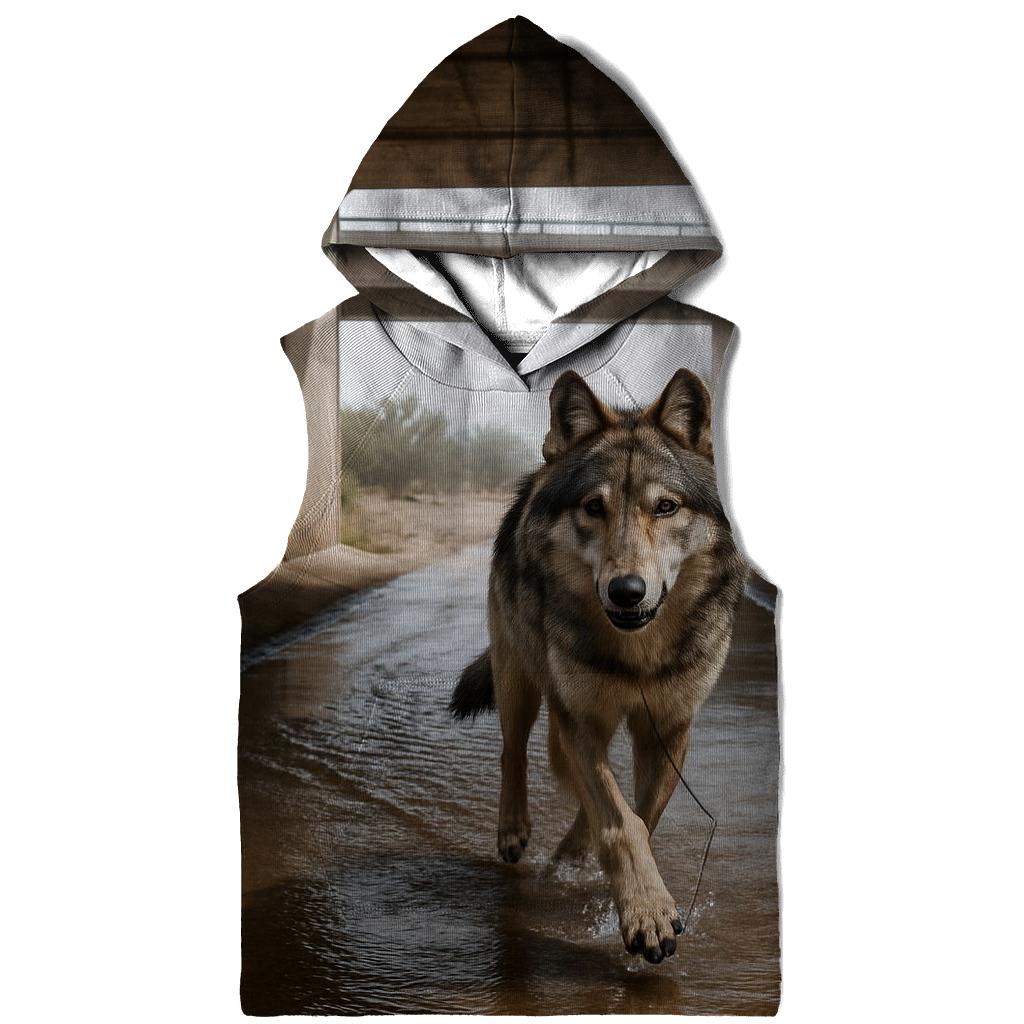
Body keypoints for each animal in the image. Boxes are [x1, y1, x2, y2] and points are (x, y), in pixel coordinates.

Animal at [450, 368, 746, 964]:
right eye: (593, 507)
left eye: (665, 507)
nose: (627, 591)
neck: (639, 659)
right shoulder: (581, 720)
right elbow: (620, 822)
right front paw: (646, 915)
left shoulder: (667, 730)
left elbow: (638, 815)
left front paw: (627, 893)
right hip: (520, 683)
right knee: (513, 751)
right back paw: (514, 830)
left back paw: (570, 851)